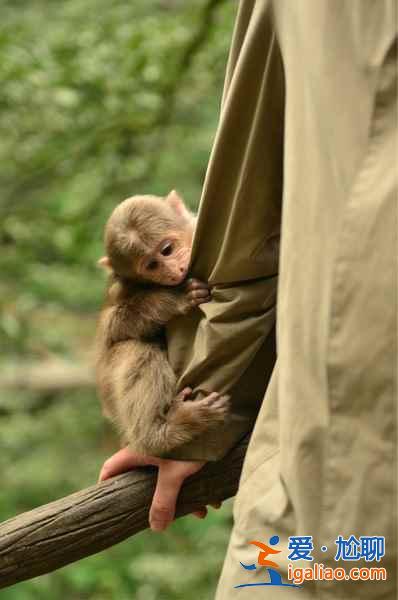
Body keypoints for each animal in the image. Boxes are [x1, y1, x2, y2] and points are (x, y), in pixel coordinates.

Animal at [94, 191, 229, 454]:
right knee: (137, 349)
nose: (173, 270)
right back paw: (159, 434)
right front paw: (172, 300)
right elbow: (110, 330)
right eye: (152, 265)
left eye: (166, 250)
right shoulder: (121, 289)